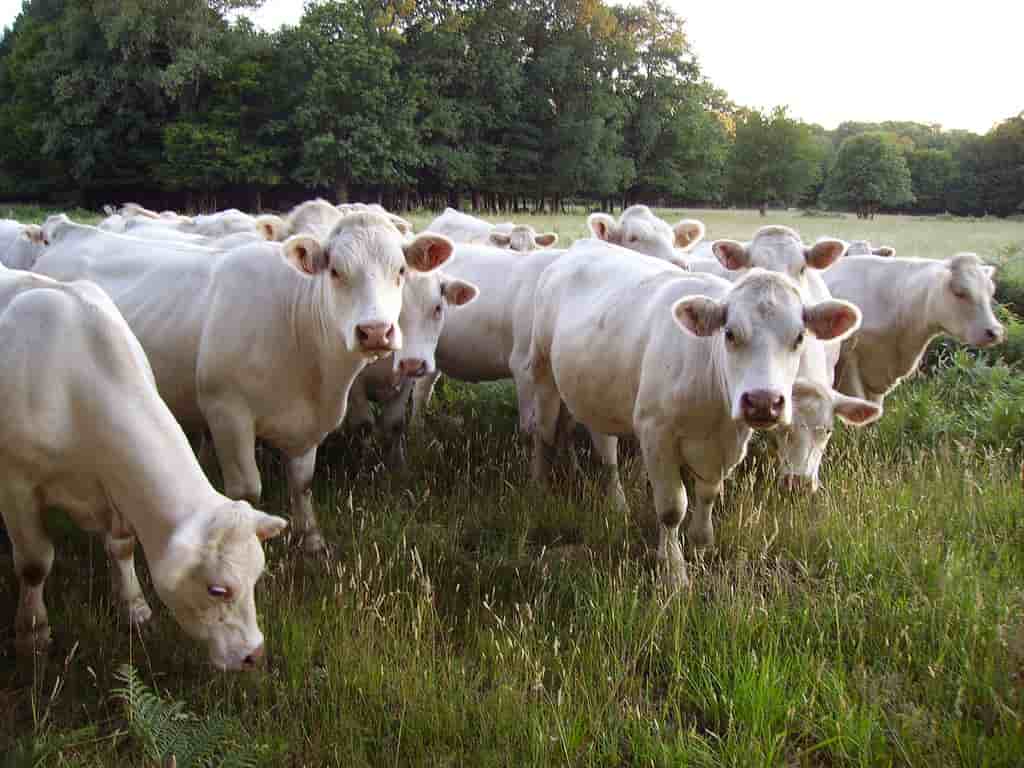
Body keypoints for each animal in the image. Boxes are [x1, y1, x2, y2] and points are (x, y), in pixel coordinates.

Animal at [0, 265, 287, 669]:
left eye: (256, 578)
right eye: (217, 589)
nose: (253, 654)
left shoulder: (116, 488)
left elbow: (122, 547)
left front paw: (134, 607)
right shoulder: (16, 485)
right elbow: (34, 562)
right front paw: (33, 633)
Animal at [32, 213, 454, 554]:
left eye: (400, 271)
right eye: (335, 271)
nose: (375, 331)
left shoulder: (309, 422)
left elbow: (302, 481)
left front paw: (312, 540)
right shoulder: (226, 412)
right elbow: (248, 490)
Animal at [525, 240, 860, 588]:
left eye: (799, 337)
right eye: (729, 334)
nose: (762, 401)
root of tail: (583, 244)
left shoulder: (724, 444)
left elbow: (708, 493)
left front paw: (701, 543)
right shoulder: (656, 433)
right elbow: (672, 507)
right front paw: (674, 572)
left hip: (597, 391)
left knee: (605, 448)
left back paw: (617, 502)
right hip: (542, 371)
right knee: (543, 431)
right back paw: (540, 486)